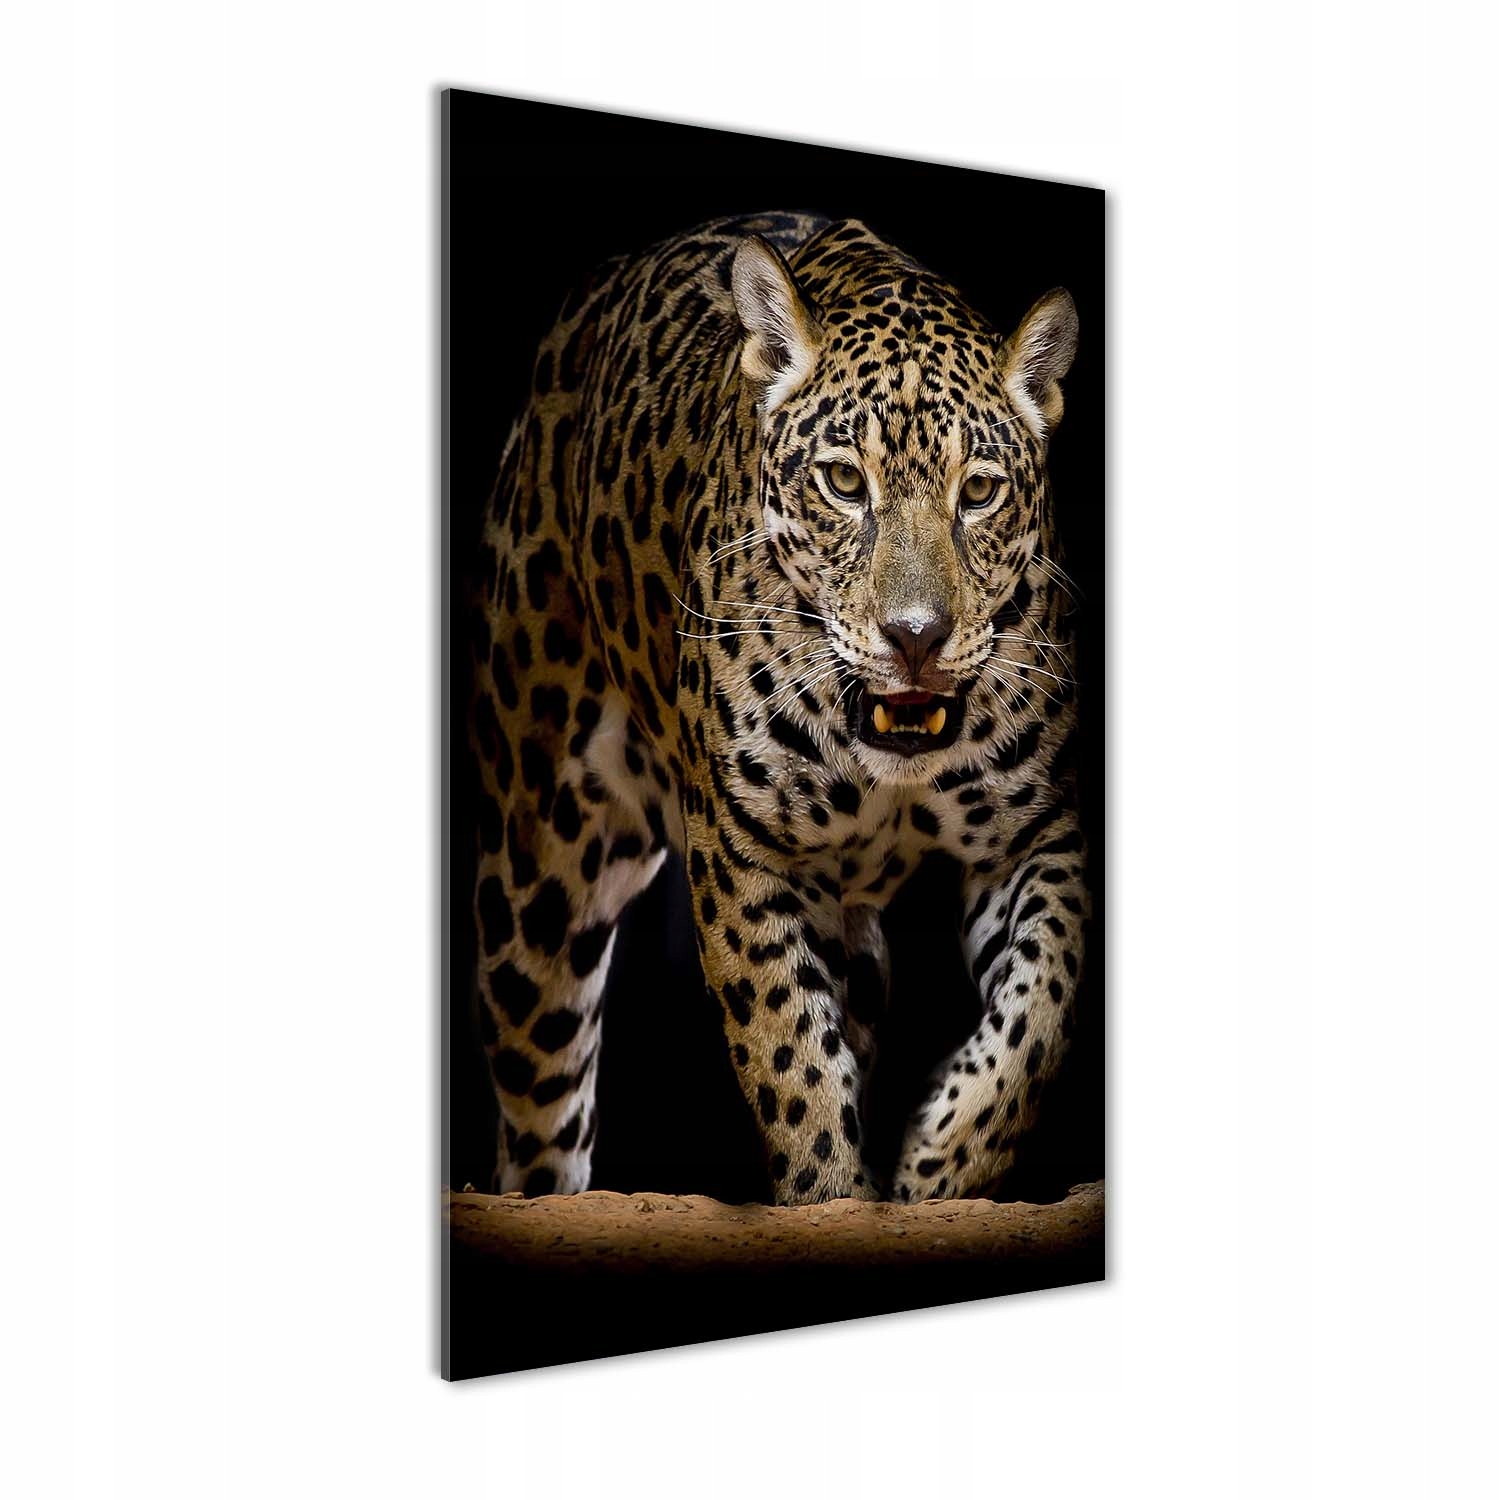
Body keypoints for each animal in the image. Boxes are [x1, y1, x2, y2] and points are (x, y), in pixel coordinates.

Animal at [467, 211, 1089, 1206]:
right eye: (844, 483)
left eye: (980, 491)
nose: (916, 636)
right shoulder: (743, 854)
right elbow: (790, 1061)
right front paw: (833, 1193)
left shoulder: (1035, 836)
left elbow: (1041, 1012)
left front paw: (939, 1164)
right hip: (537, 877)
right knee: (540, 1111)